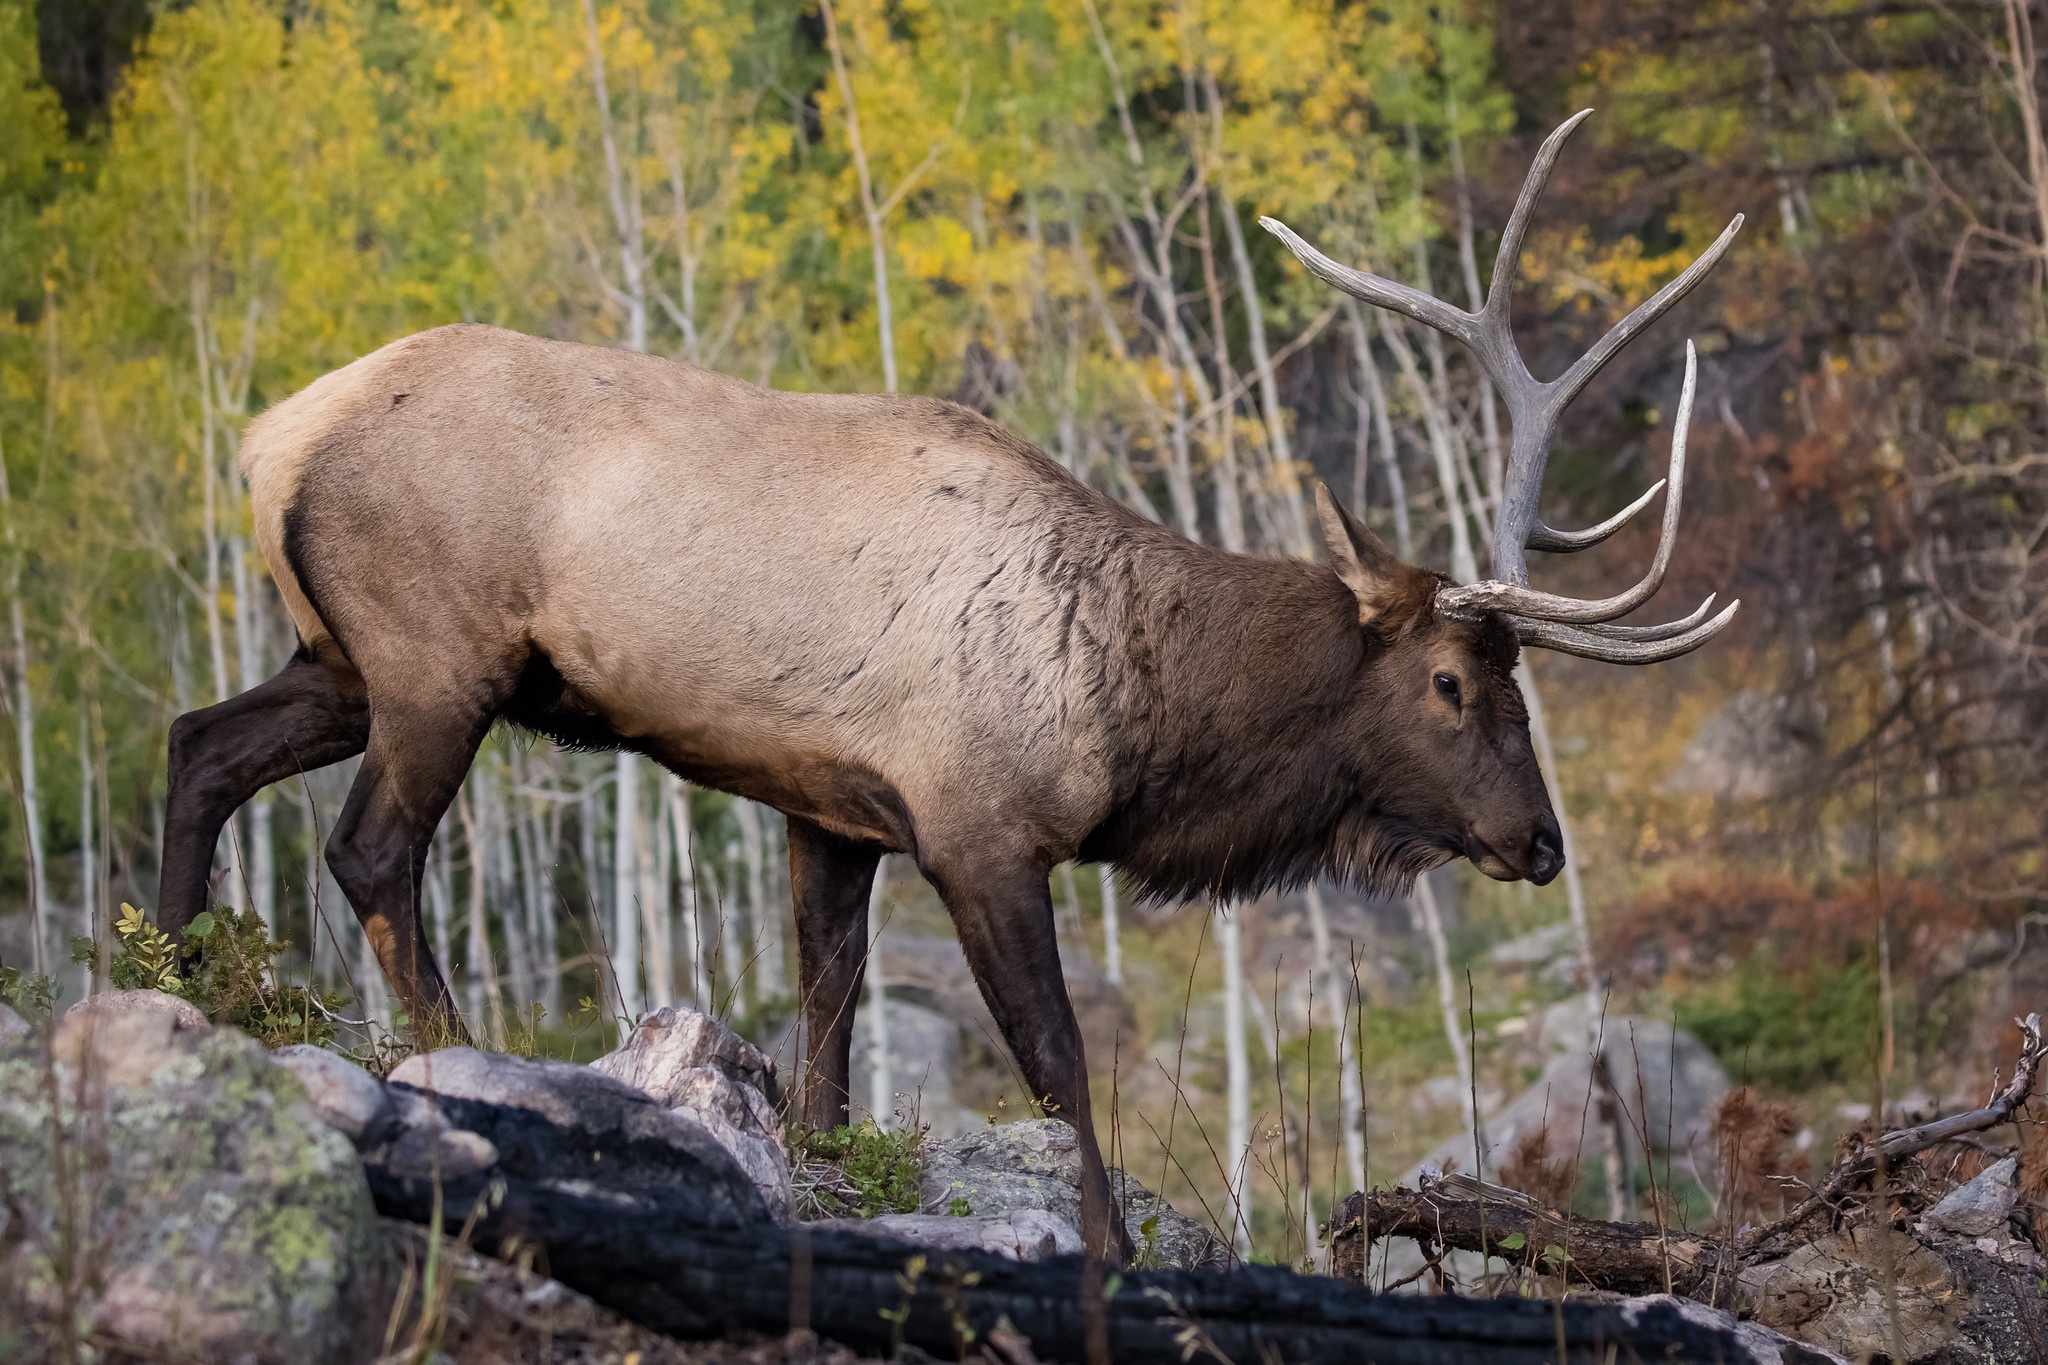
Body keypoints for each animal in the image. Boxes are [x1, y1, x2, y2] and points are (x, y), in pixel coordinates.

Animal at [151, 112, 1736, 1268]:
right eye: (1456, 680)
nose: (1540, 840)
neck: (1134, 711)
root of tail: (270, 438)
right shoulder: (979, 824)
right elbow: (1055, 1064)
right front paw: (1111, 1255)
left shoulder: (829, 808)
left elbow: (827, 1014)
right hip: (436, 658)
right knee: (370, 847)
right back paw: (443, 1058)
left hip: (344, 657)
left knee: (197, 744)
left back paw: (166, 971)